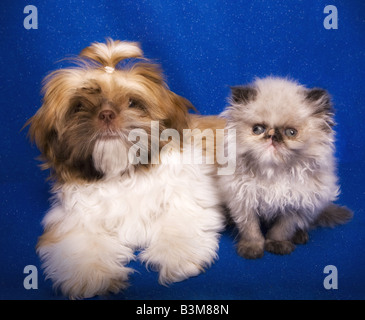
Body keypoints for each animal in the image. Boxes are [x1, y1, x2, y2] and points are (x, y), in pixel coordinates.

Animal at [25, 40, 223, 300]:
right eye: (79, 107)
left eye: (133, 103)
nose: (106, 114)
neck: (123, 173)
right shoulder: (72, 216)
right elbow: (81, 241)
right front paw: (91, 274)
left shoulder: (189, 195)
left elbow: (180, 219)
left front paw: (177, 256)